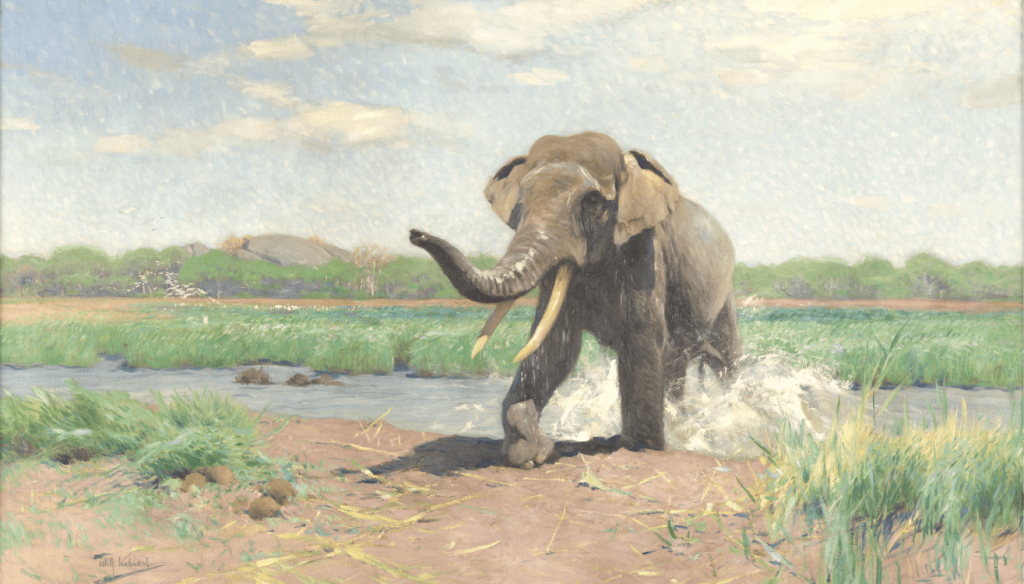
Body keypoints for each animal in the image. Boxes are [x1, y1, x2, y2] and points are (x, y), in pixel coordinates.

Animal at [409, 131, 742, 469]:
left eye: (593, 201)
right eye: (520, 202)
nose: (415, 234)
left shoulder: (645, 253)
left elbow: (641, 342)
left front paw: (641, 447)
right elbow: (554, 348)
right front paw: (530, 454)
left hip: (725, 294)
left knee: (726, 361)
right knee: (676, 363)